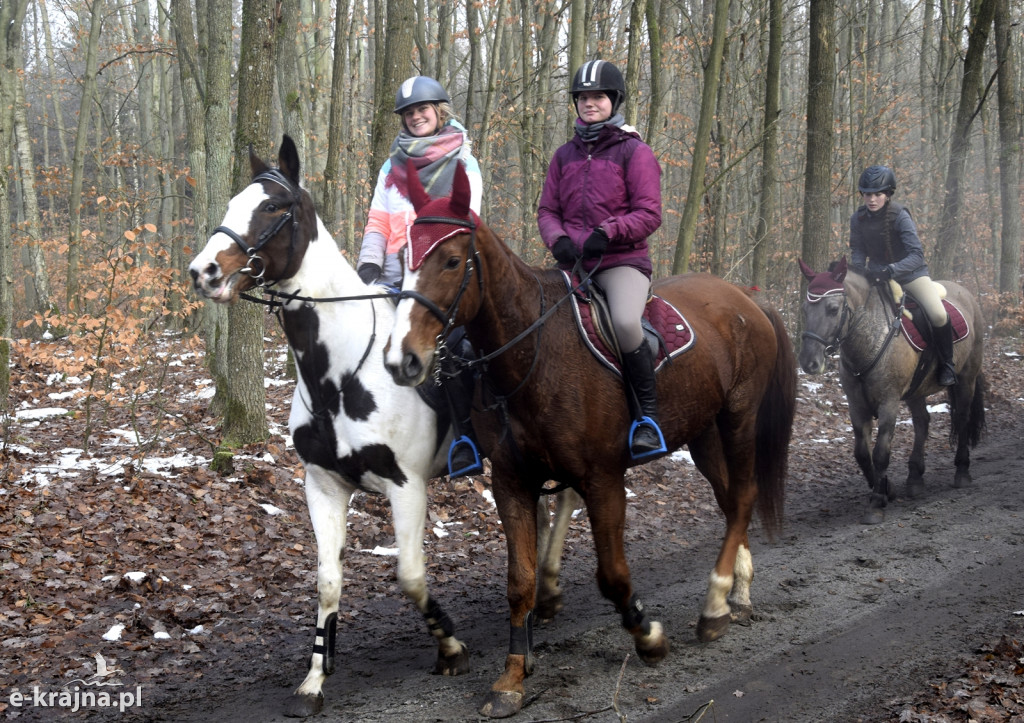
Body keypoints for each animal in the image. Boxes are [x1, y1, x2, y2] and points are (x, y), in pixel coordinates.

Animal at [186, 136, 473, 716]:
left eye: (274, 206)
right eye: (233, 202)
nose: (203, 271)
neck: (338, 372)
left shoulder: (407, 487)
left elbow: (411, 576)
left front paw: (450, 646)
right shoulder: (323, 487)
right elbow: (328, 581)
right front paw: (315, 678)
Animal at [385, 158, 798, 716]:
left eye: (451, 261)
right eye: (405, 257)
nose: (403, 358)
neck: (534, 353)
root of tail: (744, 298)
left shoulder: (603, 479)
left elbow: (613, 575)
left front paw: (648, 637)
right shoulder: (512, 482)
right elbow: (520, 582)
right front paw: (512, 679)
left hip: (738, 417)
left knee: (745, 495)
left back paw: (714, 606)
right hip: (704, 433)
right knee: (733, 498)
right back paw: (736, 592)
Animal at [798, 259, 983, 524]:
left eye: (833, 309)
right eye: (805, 309)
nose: (808, 362)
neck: (869, 338)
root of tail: (965, 293)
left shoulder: (889, 402)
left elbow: (880, 454)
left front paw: (876, 502)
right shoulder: (856, 405)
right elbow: (862, 454)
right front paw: (887, 490)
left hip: (967, 378)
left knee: (961, 418)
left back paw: (962, 472)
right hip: (917, 390)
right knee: (922, 422)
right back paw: (915, 478)